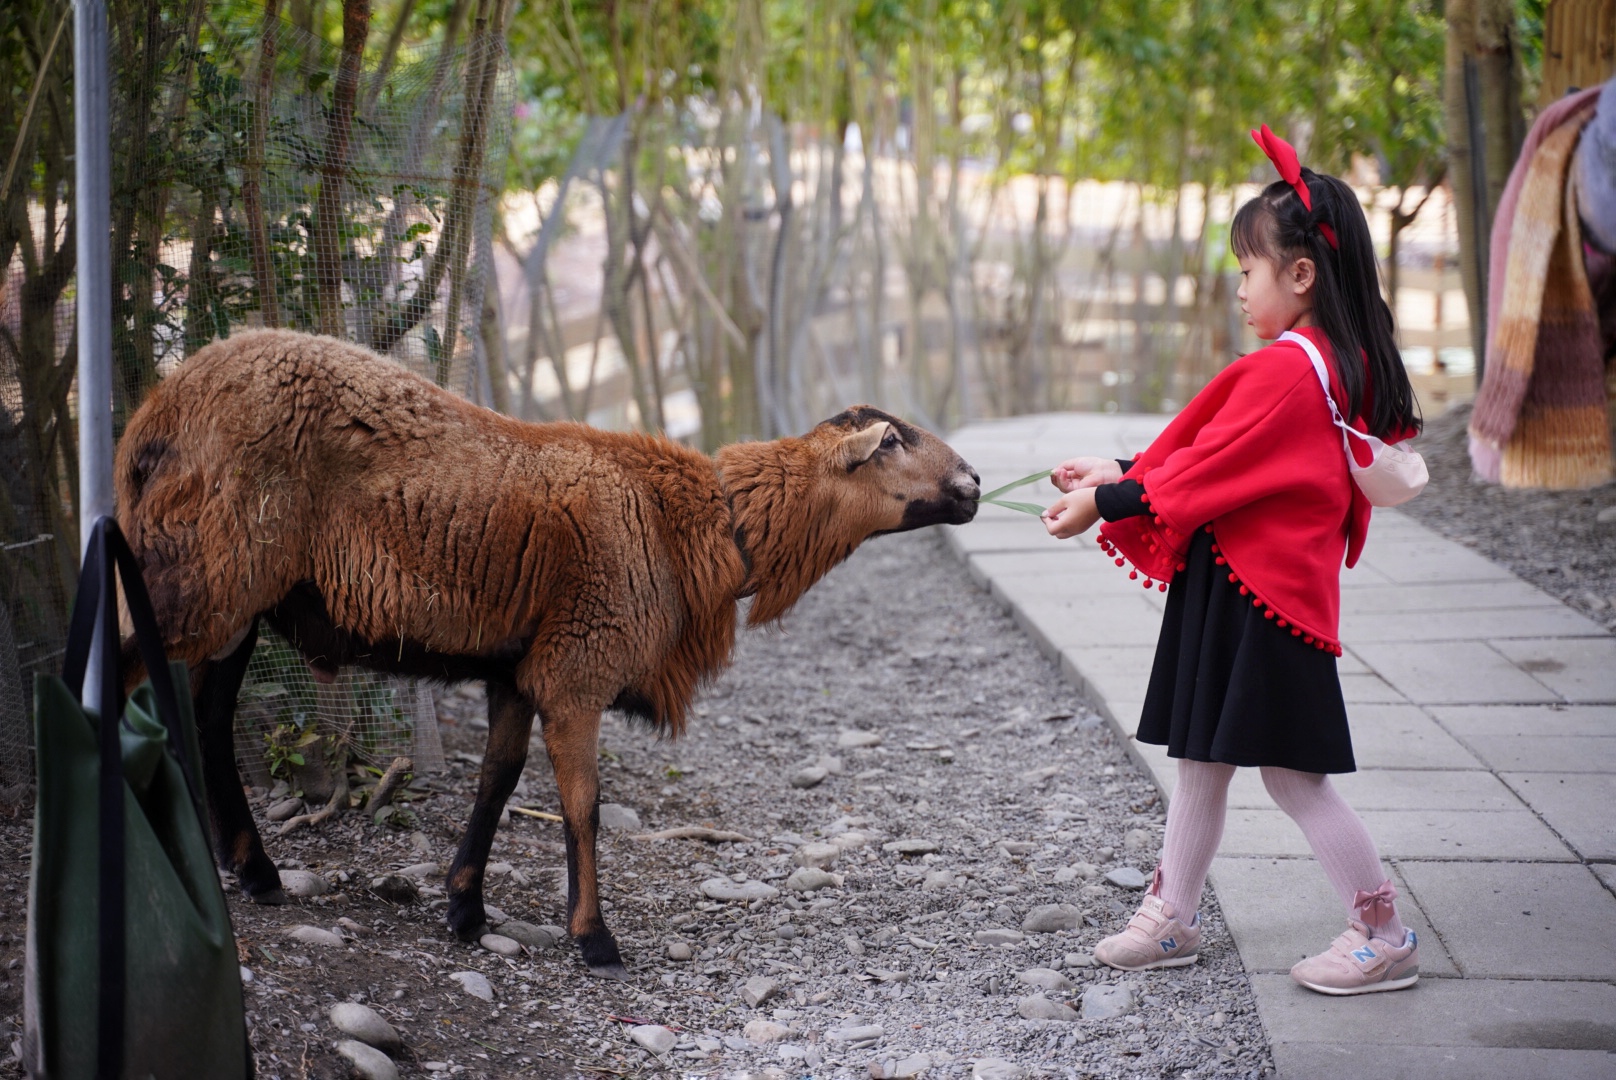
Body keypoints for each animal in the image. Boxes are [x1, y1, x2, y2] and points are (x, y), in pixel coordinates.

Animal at [113, 329, 976, 976]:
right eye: (892, 440)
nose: (972, 483)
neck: (702, 526)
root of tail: (152, 416)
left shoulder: (518, 672)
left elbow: (497, 781)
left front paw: (465, 905)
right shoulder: (577, 667)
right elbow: (582, 805)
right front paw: (594, 939)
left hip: (233, 594)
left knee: (208, 718)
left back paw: (253, 869)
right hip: (196, 571)